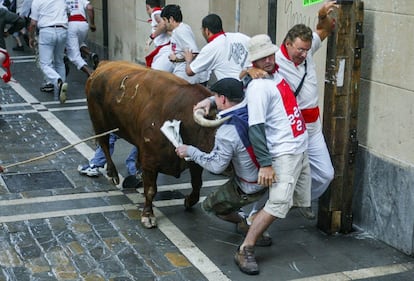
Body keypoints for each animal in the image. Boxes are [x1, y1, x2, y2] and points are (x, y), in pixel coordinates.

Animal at [85, 61, 218, 228]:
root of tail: (103, 64)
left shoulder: (195, 161)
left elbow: (197, 184)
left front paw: (188, 201)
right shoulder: (150, 162)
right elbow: (150, 190)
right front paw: (148, 216)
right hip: (99, 123)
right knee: (104, 145)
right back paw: (113, 174)